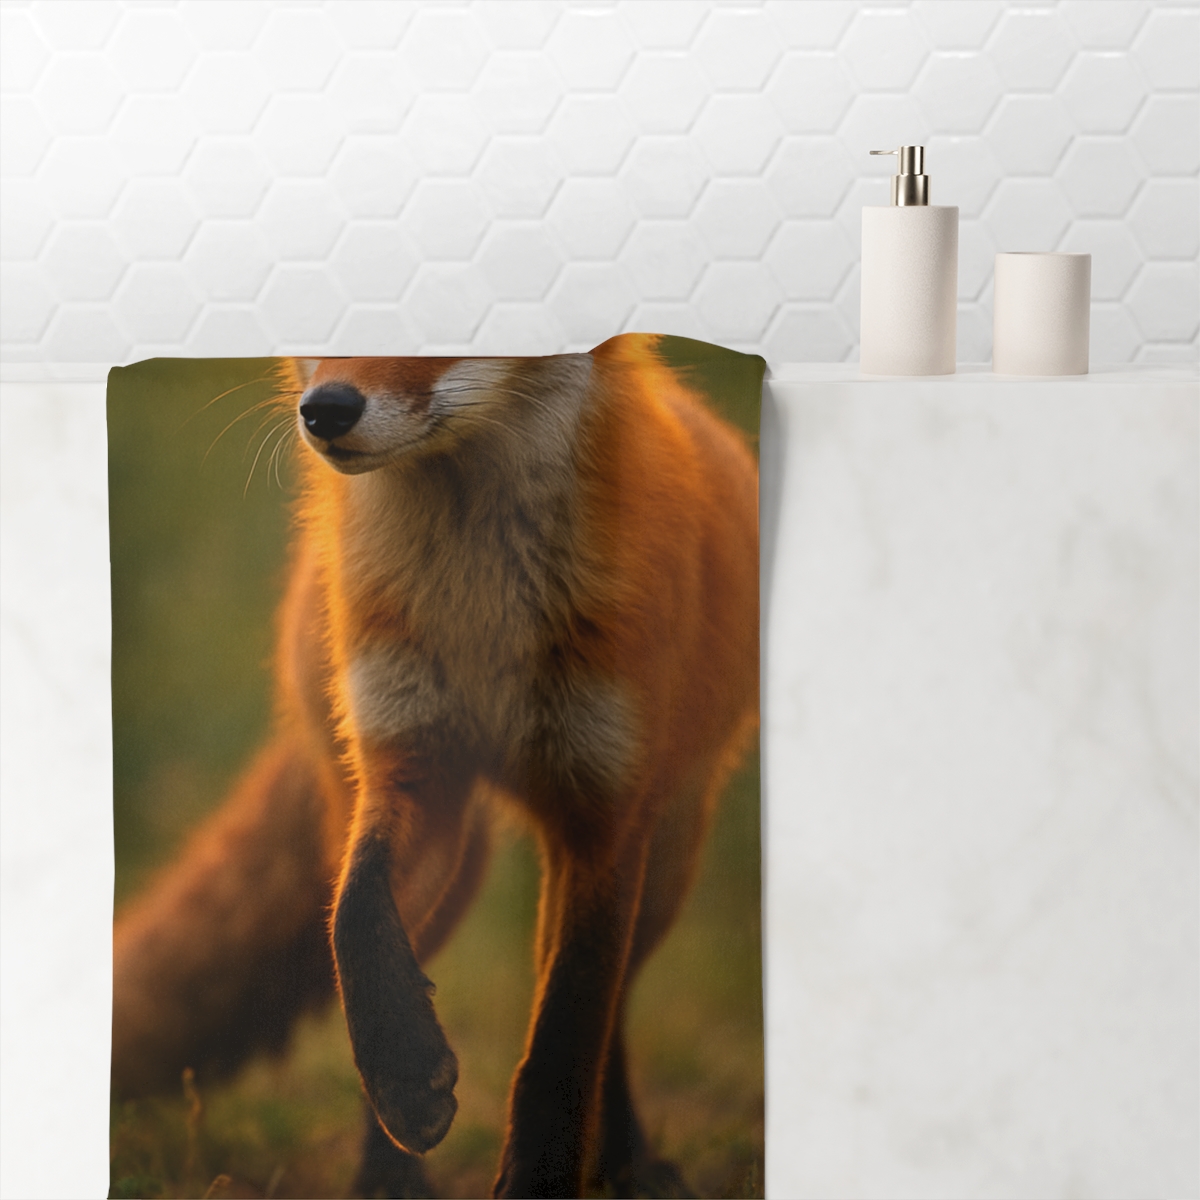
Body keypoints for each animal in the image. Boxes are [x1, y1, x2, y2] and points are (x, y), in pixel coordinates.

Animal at [110, 334, 761, 1199]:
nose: (325, 411)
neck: (481, 616)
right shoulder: (413, 770)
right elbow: (354, 919)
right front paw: (407, 1082)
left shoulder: (603, 814)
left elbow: (568, 1028)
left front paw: (541, 1180)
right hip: (454, 868)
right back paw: (388, 1173)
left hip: (665, 864)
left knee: (613, 1005)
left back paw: (627, 1162)